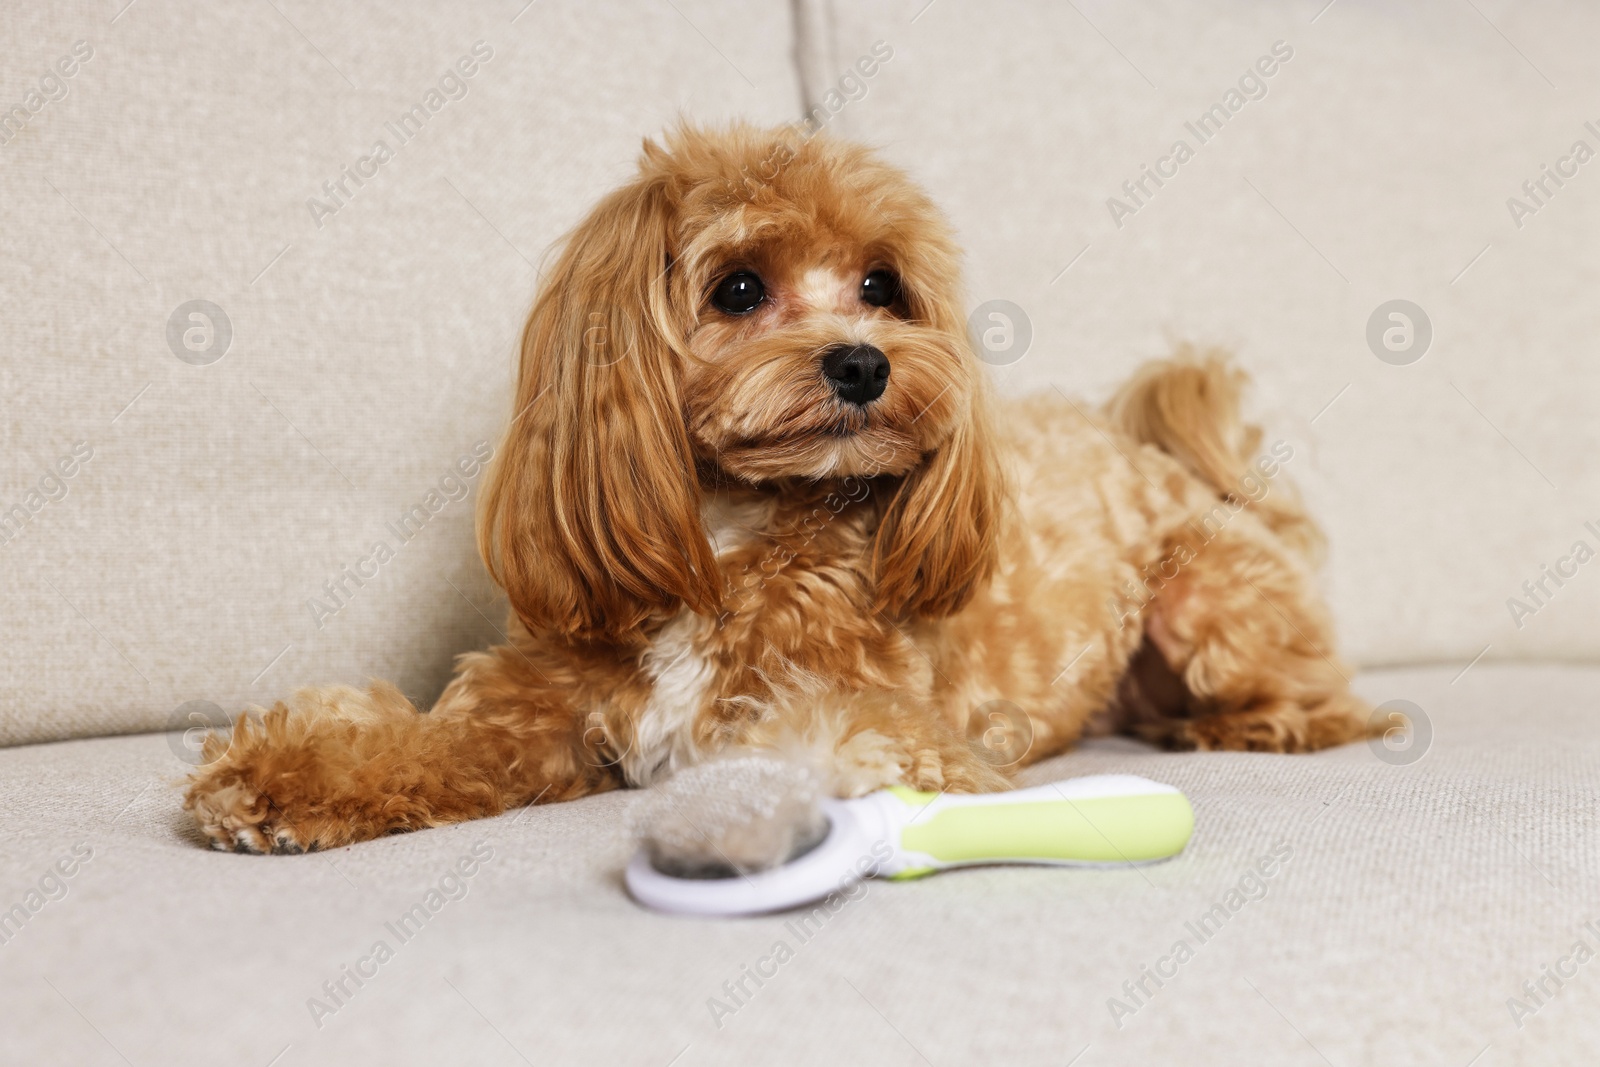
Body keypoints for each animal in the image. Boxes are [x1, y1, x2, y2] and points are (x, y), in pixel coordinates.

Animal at [184, 120, 1363, 863]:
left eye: (883, 285)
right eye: (739, 287)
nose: (864, 362)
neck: (729, 533)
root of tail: (1166, 460)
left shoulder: (900, 721)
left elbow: (849, 739)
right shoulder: (529, 708)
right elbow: (422, 739)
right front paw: (282, 776)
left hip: (1213, 599)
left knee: (1330, 698)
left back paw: (1252, 727)